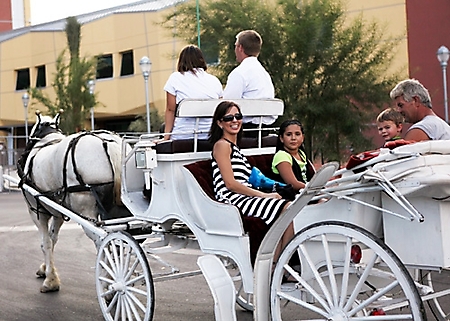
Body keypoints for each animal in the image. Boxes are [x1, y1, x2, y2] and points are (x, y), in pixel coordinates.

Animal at [17, 112, 129, 292]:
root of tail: (108, 142)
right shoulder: (58, 212)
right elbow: (52, 239)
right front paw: (46, 269)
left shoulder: (36, 210)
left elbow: (45, 243)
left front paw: (50, 280)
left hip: (85, 211)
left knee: (103, 241)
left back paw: (108, 282)